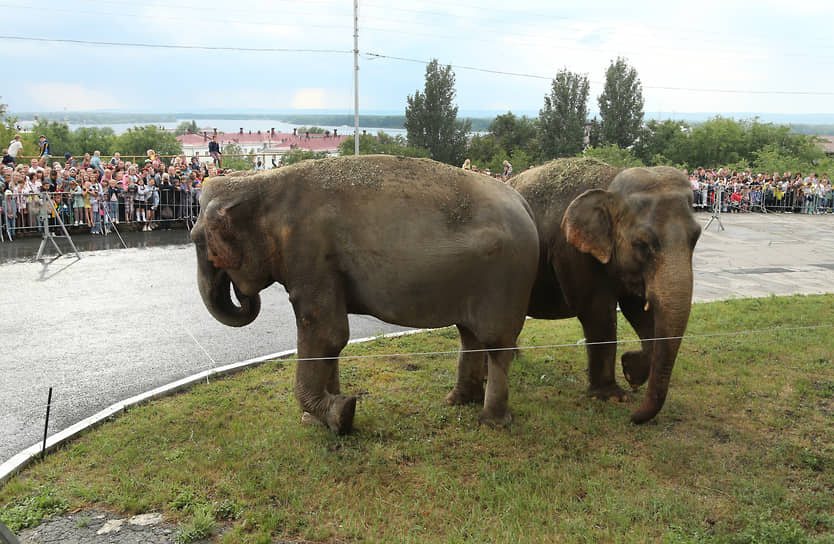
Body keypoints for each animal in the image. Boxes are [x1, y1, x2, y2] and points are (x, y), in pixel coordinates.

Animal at [190, 154, 540, 434]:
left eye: (198, 241)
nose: (242, 293)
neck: (263, 184)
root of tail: (522, 201)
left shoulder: (311, 253)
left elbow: (326, 333)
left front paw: (343, 415)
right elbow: (329, 341)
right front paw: (321, 416)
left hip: (504, 279)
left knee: (497, 344)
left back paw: (491, 421)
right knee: (470, 336)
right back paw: (457, 400)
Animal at [510, 158, 700, 424]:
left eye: (696, 238)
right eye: (642, 244)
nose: (632, 417)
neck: (610, 181)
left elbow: (638, 310)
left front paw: (631, 371)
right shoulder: (572, 251)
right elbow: (598, 313)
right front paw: (612, 397)